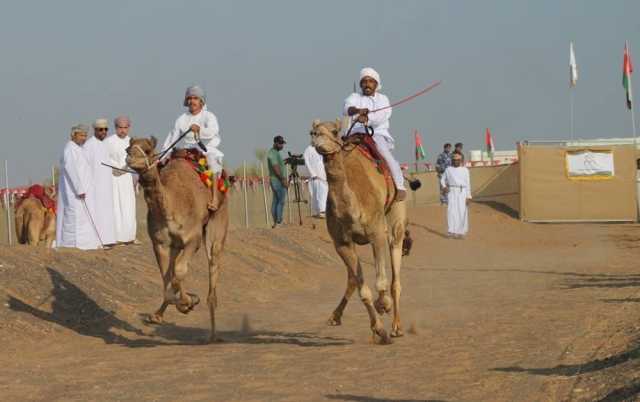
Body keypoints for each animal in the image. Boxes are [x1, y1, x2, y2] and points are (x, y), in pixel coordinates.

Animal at [125, 138, 230, 342]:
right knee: (173, 272)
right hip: (176, 246)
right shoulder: (160, 243)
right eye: (127, 148)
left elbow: (179, 271)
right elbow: (167, 279)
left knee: (213, 261)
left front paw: (189, 301)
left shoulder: (193, 239)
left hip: (218, 222)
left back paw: (213, 335)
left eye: (148, 150)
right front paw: (179, 306)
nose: (130, 157)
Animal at [312, 118, 408, 344]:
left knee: (395, 276)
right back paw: (336, 317)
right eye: (312, 132)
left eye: (334, 131)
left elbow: (381, 281)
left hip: (396, 219)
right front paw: (379, 330)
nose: (319, 141)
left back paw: (397, 327)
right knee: (353, 279)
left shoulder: (377, 233)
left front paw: (384, 306)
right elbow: (362, 289)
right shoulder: (342, 243)